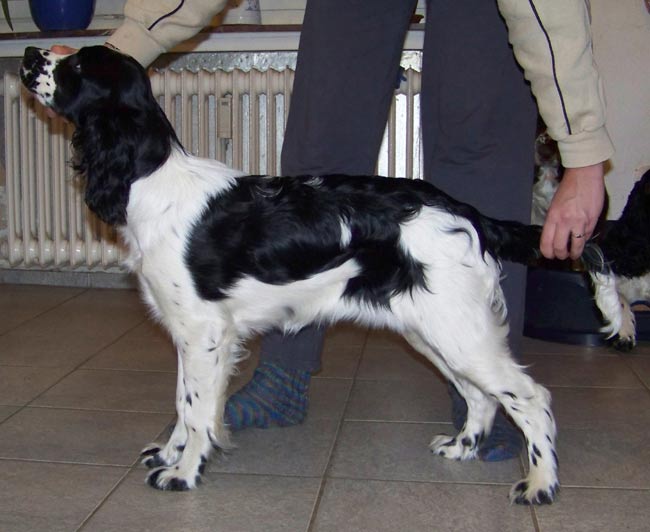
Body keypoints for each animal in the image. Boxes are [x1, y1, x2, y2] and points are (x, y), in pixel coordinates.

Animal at [20, 45, 621, 505]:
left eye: (76, 67)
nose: (27, 54)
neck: (151, 180)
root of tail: (464, 211)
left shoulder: (205, 333)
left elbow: (195, 410)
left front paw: (183, 472)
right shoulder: (191, 335)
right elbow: (183, 401)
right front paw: (170, 454)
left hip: (459, 330)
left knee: (530, 397)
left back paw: (540, 483)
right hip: (434, 331)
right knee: (481, 396)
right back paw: (461, 448)